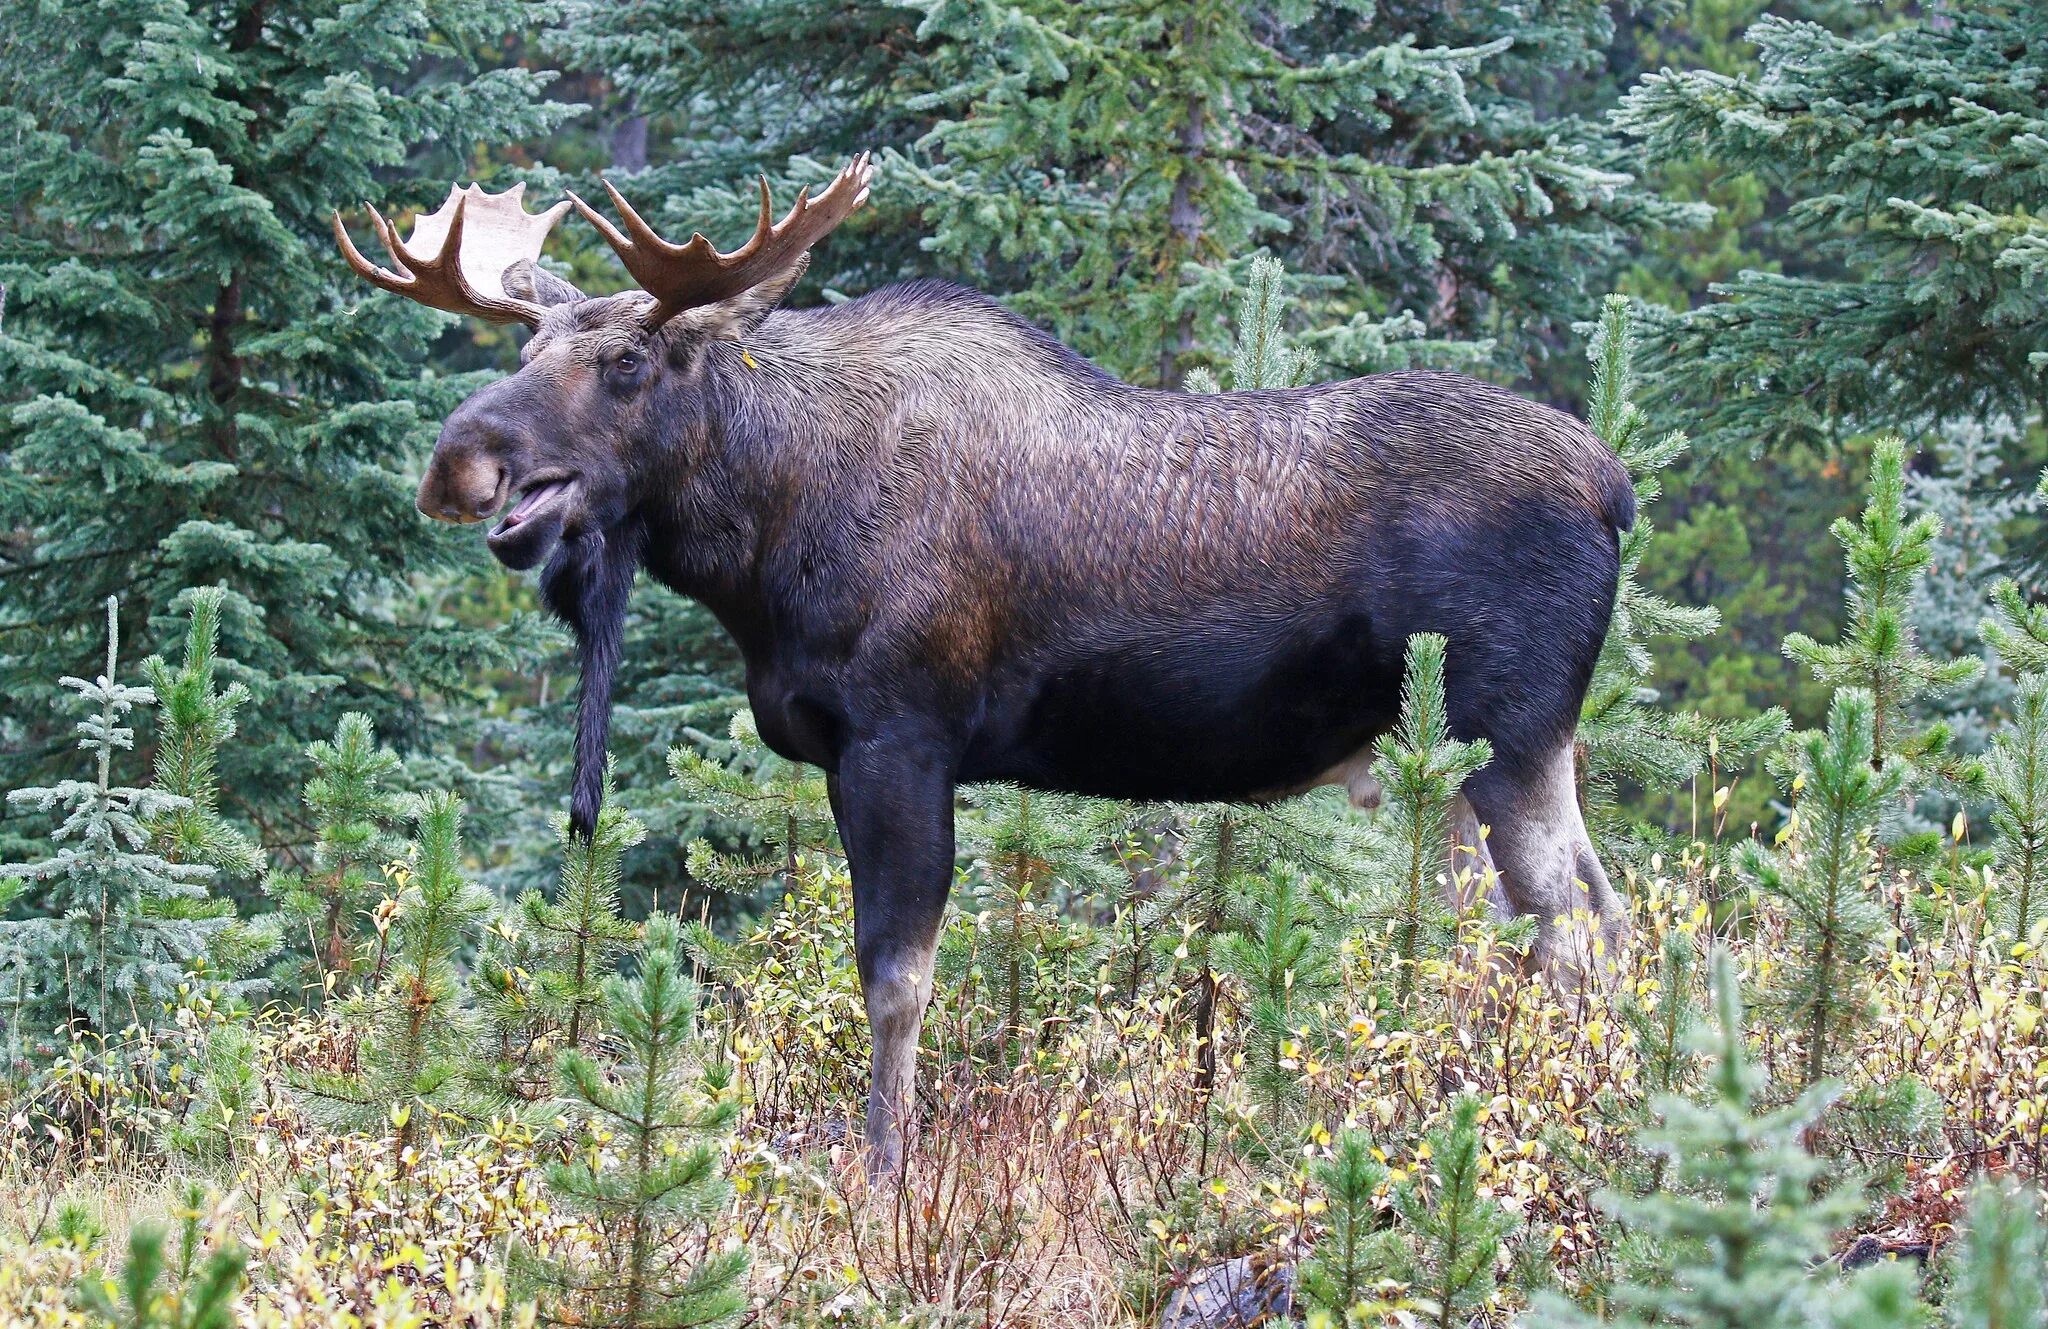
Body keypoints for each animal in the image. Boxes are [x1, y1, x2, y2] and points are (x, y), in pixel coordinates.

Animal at [344, 155, 1638, 1171]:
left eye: (622, 361)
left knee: (1567, 932)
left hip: (1502, 733)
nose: (457, 462)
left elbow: (895, 979)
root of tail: (1614, 489)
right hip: (1494, 753)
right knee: (1588, 918)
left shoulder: (901, 739)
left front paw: (884, 1172)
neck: (765, 540)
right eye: (529, 344)